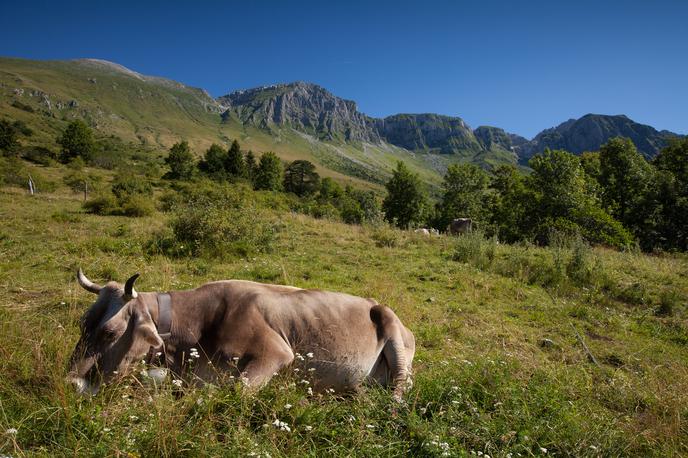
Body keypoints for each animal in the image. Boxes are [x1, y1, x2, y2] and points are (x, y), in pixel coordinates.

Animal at [67, 270, 416, 398]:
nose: (72, 382)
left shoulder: (276, 353)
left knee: (400, 387)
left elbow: (236, 390)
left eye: (110, 332)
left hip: (392, 328)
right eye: (83, 324)